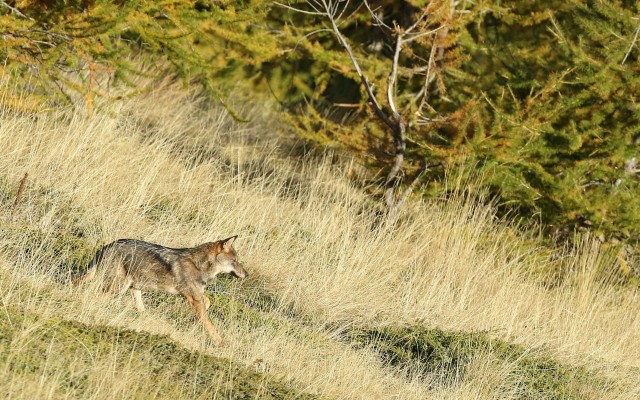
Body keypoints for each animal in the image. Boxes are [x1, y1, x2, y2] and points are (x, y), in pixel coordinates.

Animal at [72, 236, 247, 343]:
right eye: (235, 261)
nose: (247, 274)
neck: (200, 266)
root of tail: (107, 245)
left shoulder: (194, 295)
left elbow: (208, 302)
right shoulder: (193, 298)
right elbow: (209, 324)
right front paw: (220, 342)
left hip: (133, 287)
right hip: (118, 287)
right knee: (93, 295)